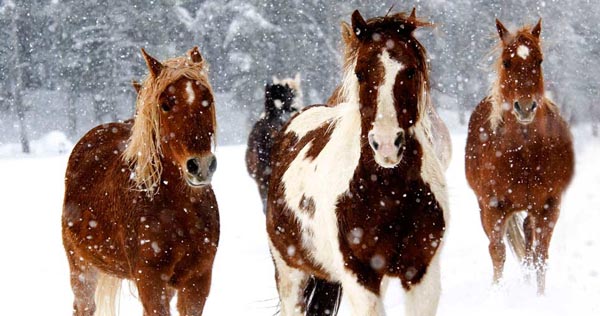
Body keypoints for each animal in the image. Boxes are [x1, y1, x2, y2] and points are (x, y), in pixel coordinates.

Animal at [61, 47, 219, 316]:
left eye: (207, 99)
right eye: (165, 105)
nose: (200, 166)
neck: (180, 210)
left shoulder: (197, 281)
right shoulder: (150, 280)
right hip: (81, 266)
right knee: (84, 306)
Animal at [264, 9, 448, 316]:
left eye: (410, 70)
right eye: (361, 73)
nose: (386, 144)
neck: (389, 196)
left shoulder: (422, 274)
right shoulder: (359, 276)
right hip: (289, 272)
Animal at [464, 19, 576, 296]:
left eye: (539, 60)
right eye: (506, 62)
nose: (525, 107)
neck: (524, 155)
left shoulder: (549, 205)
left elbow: (541, 255)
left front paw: (539, 296)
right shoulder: (493, 206)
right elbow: (498, 252)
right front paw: (496, 293)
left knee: (529, 240)